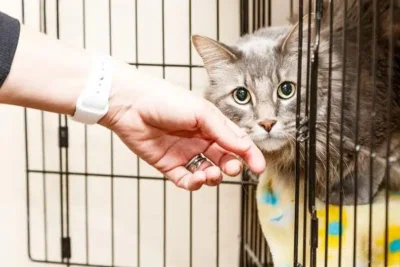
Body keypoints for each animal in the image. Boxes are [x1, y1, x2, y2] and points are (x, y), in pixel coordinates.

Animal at [192, 0, 400, 206]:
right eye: (241, 95)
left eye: (286, 90)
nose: (267, 123)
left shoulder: (382, 126)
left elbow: (369, 162)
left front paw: (346, 195)